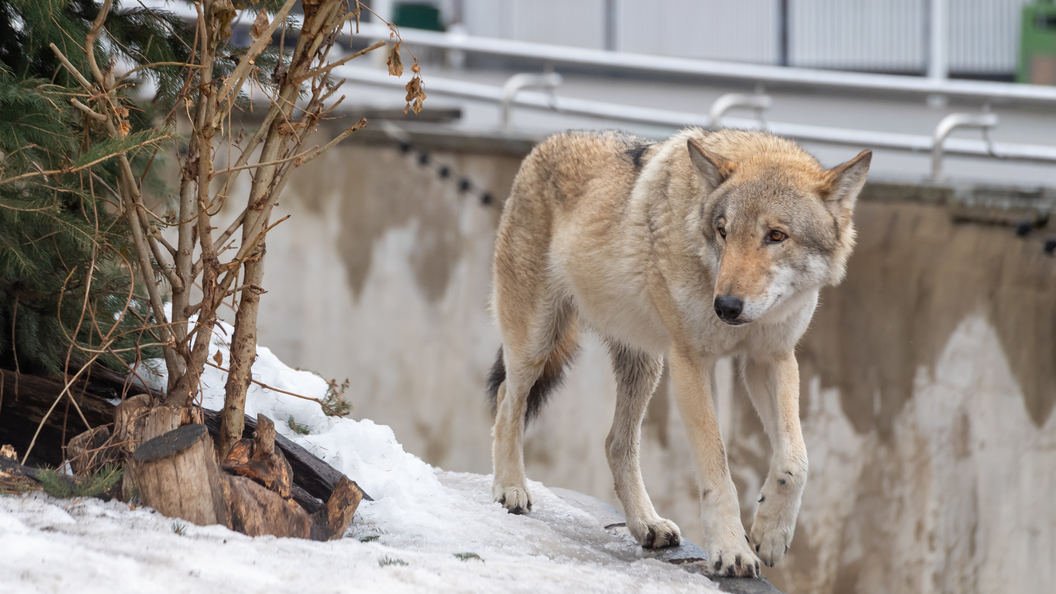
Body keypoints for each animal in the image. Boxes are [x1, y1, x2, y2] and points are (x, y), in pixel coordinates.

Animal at [483, 125, 870, 574]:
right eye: (723, 231)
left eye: (776, 236)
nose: (726, 307)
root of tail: (546, 142)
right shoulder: (691, 363)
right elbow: (717, 467)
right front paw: (732, 549)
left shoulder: (771, 358)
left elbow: (796, 461)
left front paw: (772, 533)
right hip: (536, 343)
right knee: (508, 401)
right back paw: (511, 487)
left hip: (645, 366)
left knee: (615, 443)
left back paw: (645, 524)